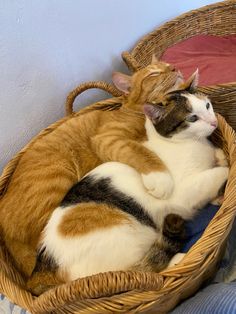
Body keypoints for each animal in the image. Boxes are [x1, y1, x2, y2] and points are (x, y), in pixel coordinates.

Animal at [0, 57, 183, 278]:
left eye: (167, 66)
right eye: (154, 74)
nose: (174, 67)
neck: (135, 112)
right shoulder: (108, 139)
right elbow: (140, 151)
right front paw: (160, 178)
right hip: (59, 181)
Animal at [26, 71, 228, 294]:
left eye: (207, 105)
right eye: (192, 118)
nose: (214, 122)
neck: (194, 145)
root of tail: (43, 271)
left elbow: (219, 156)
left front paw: (218, 192)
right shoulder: (184, 195)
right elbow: (221, 171)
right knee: (142, 273)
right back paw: (176, 260)